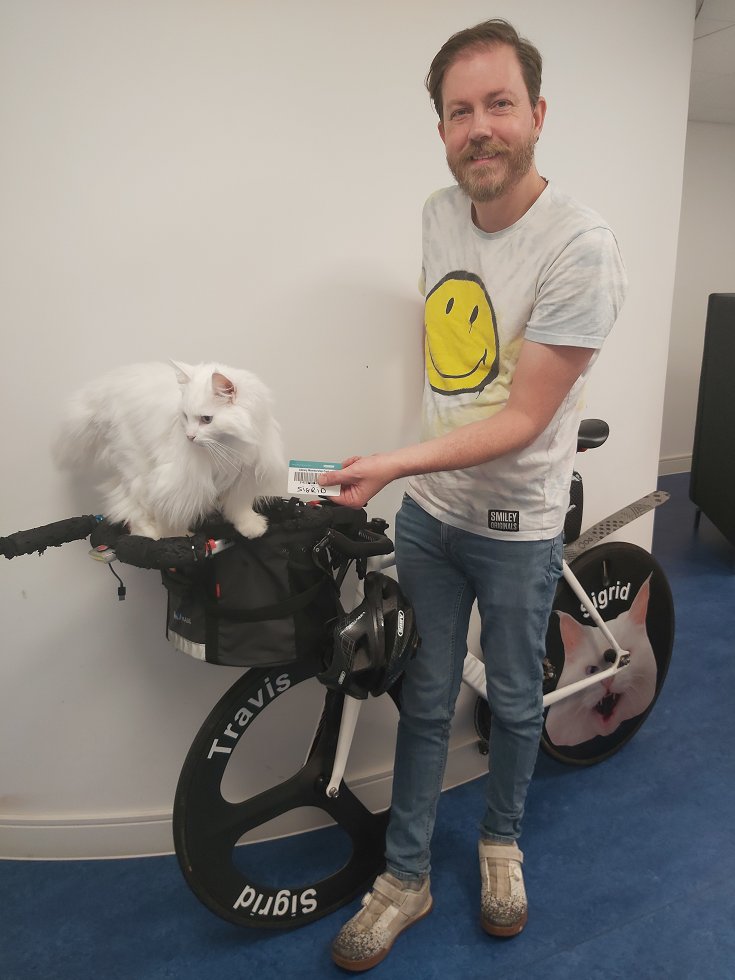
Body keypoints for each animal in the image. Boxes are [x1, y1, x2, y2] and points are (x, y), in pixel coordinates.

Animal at [53, 362, 284, 540]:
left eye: (206, 419)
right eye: (185, 416)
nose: (189, 436)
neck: (228, 447)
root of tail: (103, 388)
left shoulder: (244, 475)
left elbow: (239, 506)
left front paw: (251, 527)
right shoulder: (179, 481)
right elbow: (173, 512)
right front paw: (176, 537)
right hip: (136, 466)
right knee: (129, 503)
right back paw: (149, 532)